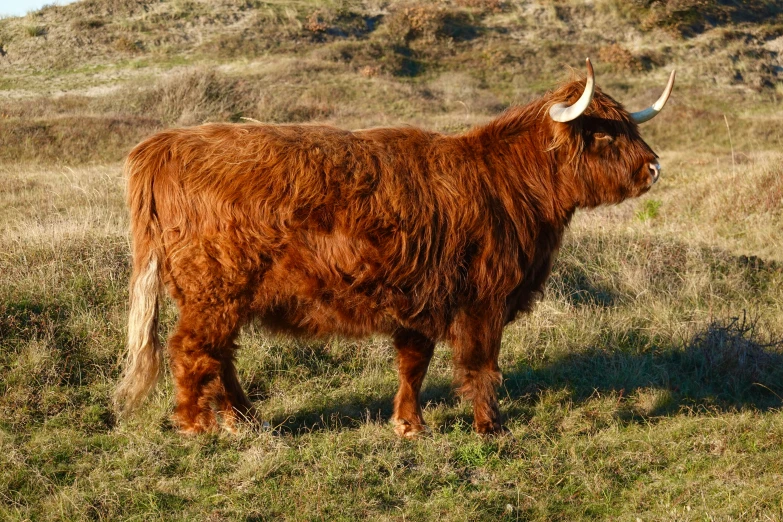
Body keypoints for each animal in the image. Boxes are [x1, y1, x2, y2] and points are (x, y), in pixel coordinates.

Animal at [115, 60, 672, 434]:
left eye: (631, 125)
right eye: (605, 135)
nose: (653, 167)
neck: (509, 182)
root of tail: (161, 144)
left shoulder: (421, 296)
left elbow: (413, 363)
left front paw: (410, 425)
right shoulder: (483, 300)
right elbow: (480, 364)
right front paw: (490, 426)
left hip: (226, 298)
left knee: (220, 355)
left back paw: (246, 419)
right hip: (215, 291)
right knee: (192, 349)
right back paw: (197, 425)